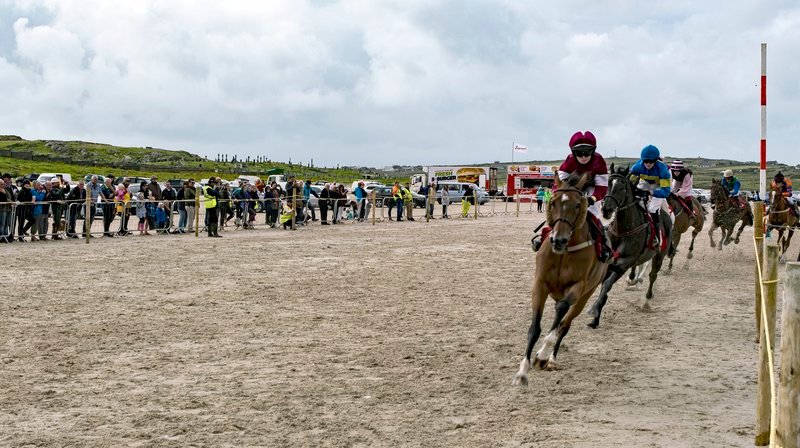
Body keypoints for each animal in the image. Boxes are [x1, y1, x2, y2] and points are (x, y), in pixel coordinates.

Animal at [512, 172, 608, 384]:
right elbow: (535, 329)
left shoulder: (577, 288)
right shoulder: (540, 285)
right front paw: (522, 371)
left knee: (564, 325)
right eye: (553, 202)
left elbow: (560, 315)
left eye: (578, 205)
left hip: (585, 297)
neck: (564, 252)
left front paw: (541, 355)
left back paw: (551, 359)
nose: (559, 240)